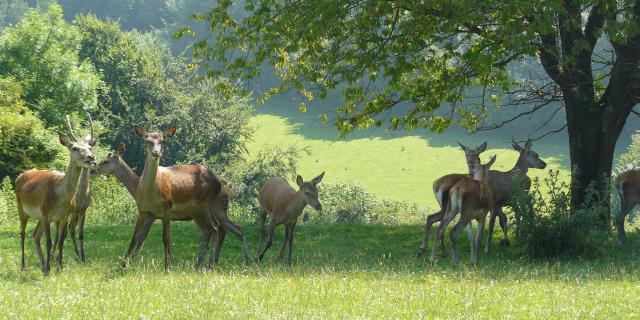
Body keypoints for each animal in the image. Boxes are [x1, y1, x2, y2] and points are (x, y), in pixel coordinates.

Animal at [15, 114, 97, 274]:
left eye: (90, 147)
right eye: (74, 148)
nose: (91, 157)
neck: (61, 198)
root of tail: (19, 176)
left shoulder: (64, 216)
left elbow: (60, 241)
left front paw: (59, 268)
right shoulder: (46, 214)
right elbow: (49, 241)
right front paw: (49, 270)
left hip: (39, 216)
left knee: (35, 235)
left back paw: (42, 264)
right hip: (21, 208)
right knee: (22, 233)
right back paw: (24, 266)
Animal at [121, 125, 251, 270]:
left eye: (162, 141)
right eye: (147, 140)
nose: (156, 152)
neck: (148, 192)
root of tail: (218, 181)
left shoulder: (167, 207)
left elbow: (166, 237)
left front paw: (168, 267)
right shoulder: (143, 211)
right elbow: (134, 237)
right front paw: (122, 266)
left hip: (207, 206)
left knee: (216, 228)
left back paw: (211, 264)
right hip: (197, 212)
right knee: (211, 230)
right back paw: (201, 264)